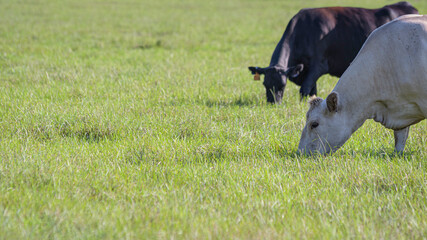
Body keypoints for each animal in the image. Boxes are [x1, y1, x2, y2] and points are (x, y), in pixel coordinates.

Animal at [249, 1, 420, 103]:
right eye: (265, 84)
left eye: (282, 85)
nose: (273, 103)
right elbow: (312, 90)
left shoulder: (318, 66)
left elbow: (304, 90)